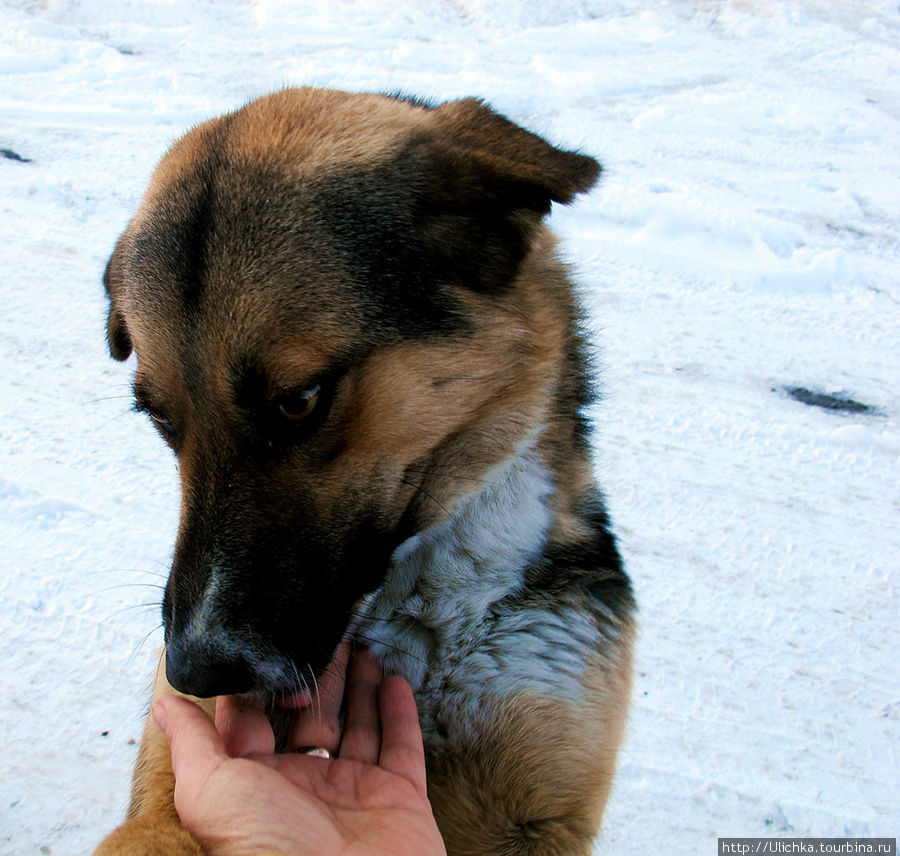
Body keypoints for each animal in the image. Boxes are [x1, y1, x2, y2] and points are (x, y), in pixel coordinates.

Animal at [93, 88, 632, 856]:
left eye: (300, 401)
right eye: (159, 418)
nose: (195, 671)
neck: (412, 619)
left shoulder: (539, 800)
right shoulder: (175, 772)